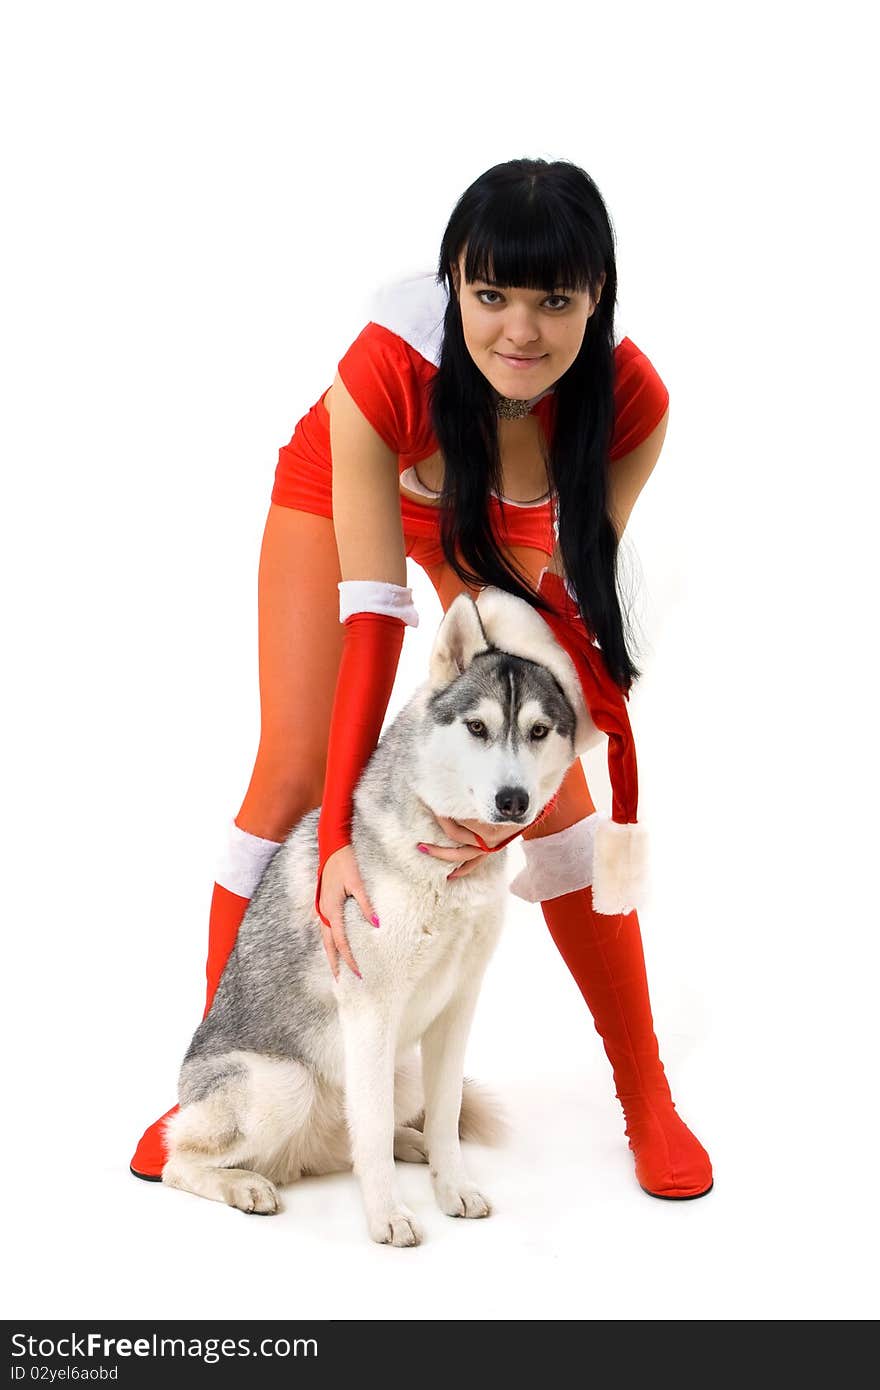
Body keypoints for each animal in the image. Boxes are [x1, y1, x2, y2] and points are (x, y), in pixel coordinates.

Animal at [161, 586, 595, 1251]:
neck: (447, 866)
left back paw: (408, 1145)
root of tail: (303, 1157)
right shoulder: (369, 1009)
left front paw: (451, 1184)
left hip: (401, 1070)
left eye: (538, 730)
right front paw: (388, 1215)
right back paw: (244, 1185)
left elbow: (443, 1114)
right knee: (179, 1162)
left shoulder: (458, 1006)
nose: (513, 800)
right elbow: (370, 1128)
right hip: (285, 1085)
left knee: (374, 1130)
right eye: (477, 727)